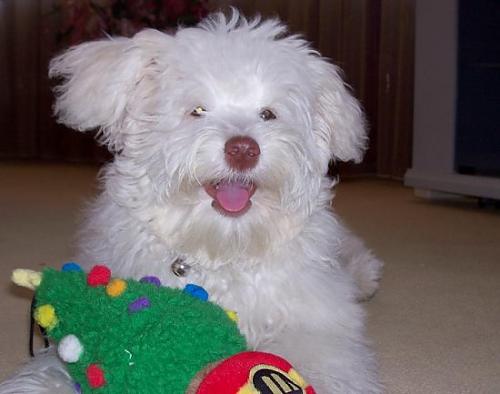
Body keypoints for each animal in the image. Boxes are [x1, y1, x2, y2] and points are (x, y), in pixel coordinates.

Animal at [0, 10, 382, 392]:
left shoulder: (320, 330)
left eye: (268, 114)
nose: (243, 149)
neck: (220, 248)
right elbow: (50, 372)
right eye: (197, 110)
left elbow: (313, 360)